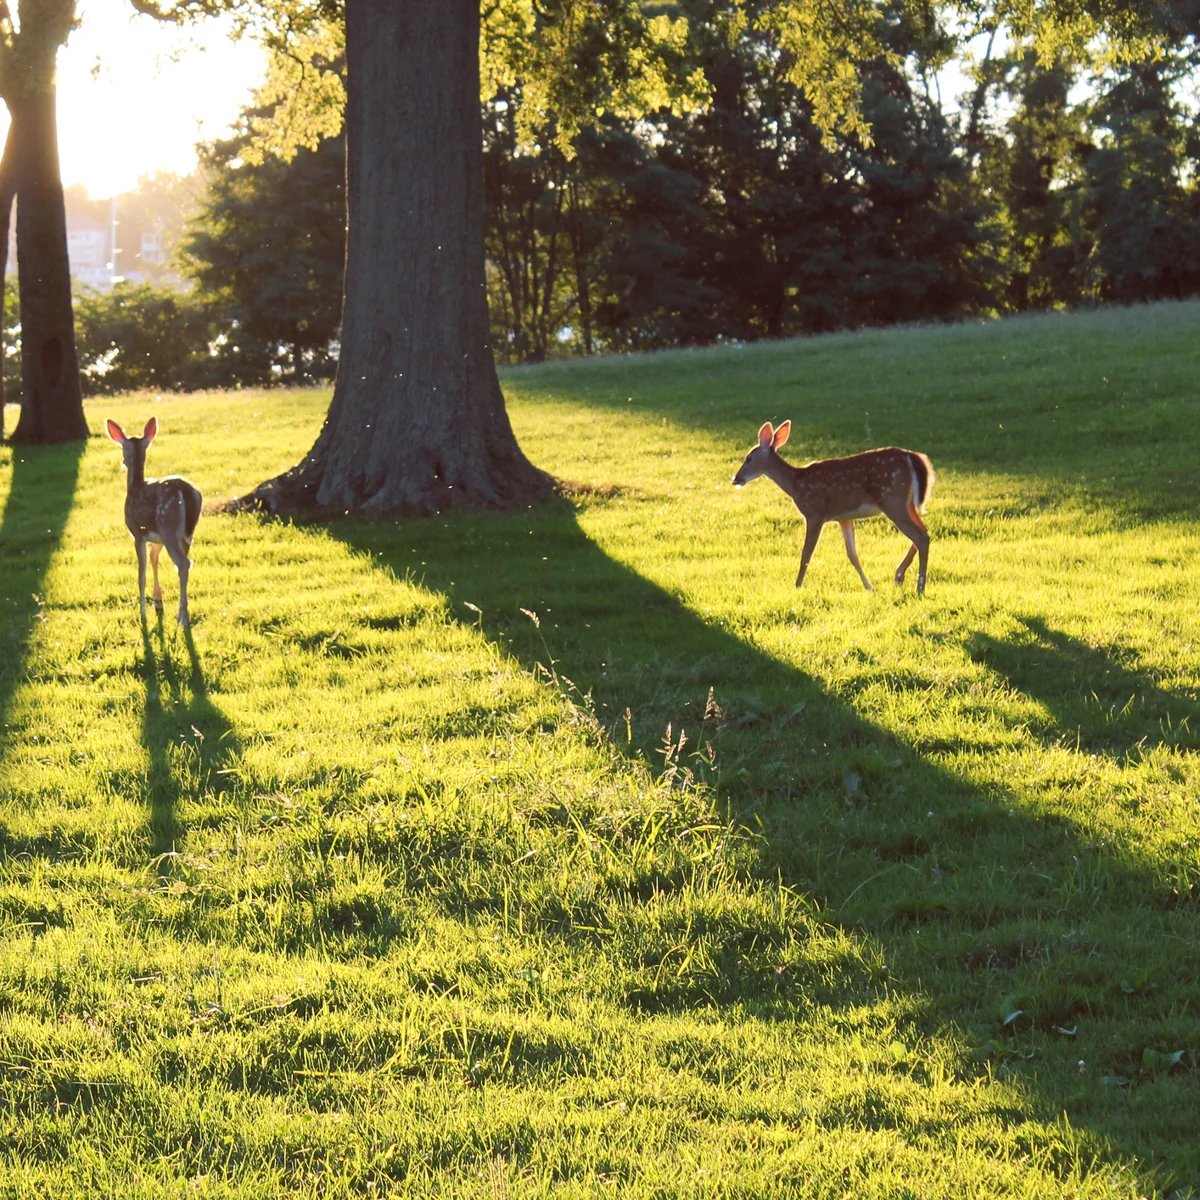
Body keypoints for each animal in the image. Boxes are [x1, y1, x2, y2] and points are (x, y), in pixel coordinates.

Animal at [108, 417, 204, 628]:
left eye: (123, 447)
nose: (122, 462)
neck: (135, 486)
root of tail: (185, 493)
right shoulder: (156, 537)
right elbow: (154, 559)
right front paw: (158, 602)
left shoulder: (137, 533)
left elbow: (141, 573)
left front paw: (142, 613)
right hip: (185, 534)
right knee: (184, 564)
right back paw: (182, 613)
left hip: (168, 525)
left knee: (183, 563)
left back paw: (183, 617)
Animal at [729, 420, 936, 597]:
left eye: (749, 458)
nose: (735, 478)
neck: (796, 484)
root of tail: (912, 457)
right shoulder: (844, 517)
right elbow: (853, 555)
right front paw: (869, 588)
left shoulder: (815, 513)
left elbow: (806, 554)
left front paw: (797, 586)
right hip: (906, 503)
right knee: (924, 532)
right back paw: (900, 576)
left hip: (893, 500)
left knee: (920, 536)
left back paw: (920, 587)